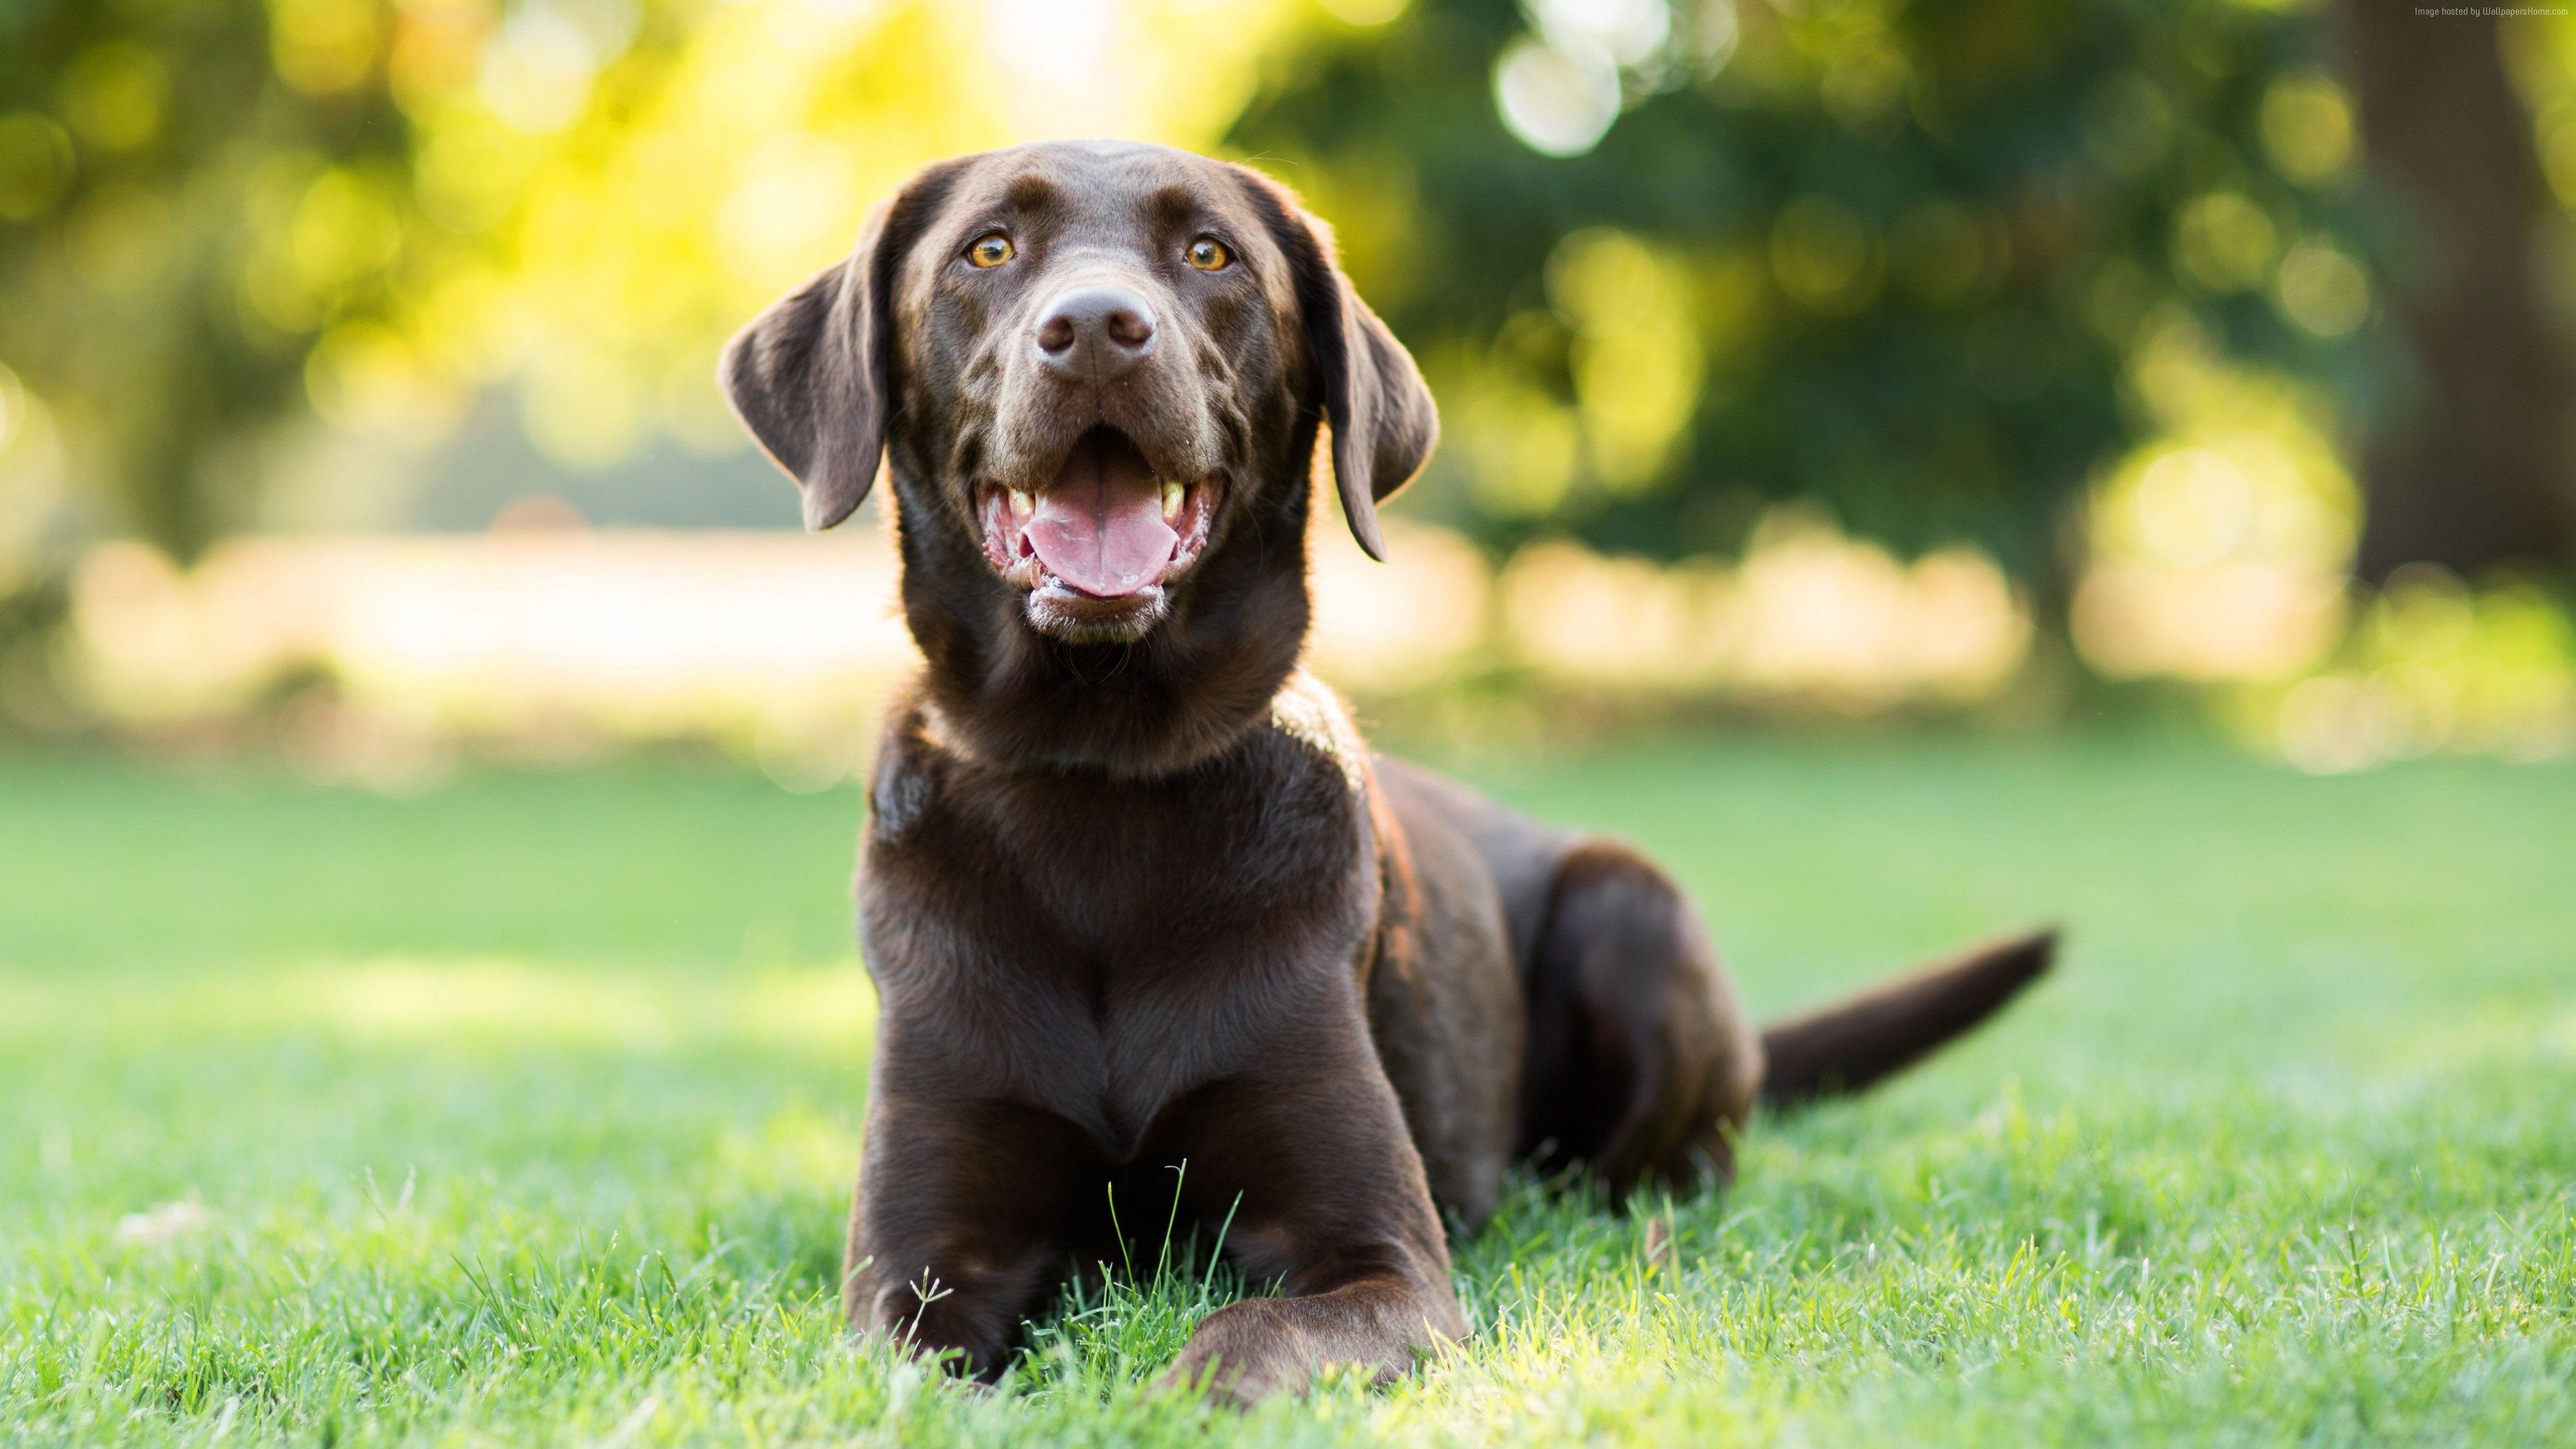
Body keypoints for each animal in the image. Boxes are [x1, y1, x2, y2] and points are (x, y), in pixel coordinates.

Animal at [726, 138, 2050, 1402]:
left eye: (1209, 255)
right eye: (989, 249)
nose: (1097, 327)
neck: (1098, 777)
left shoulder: (1381, 1259)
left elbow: (1242, 1338)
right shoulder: (919, 1266)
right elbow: (915, 1382)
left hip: (1632, 910)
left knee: (1675, 1180)